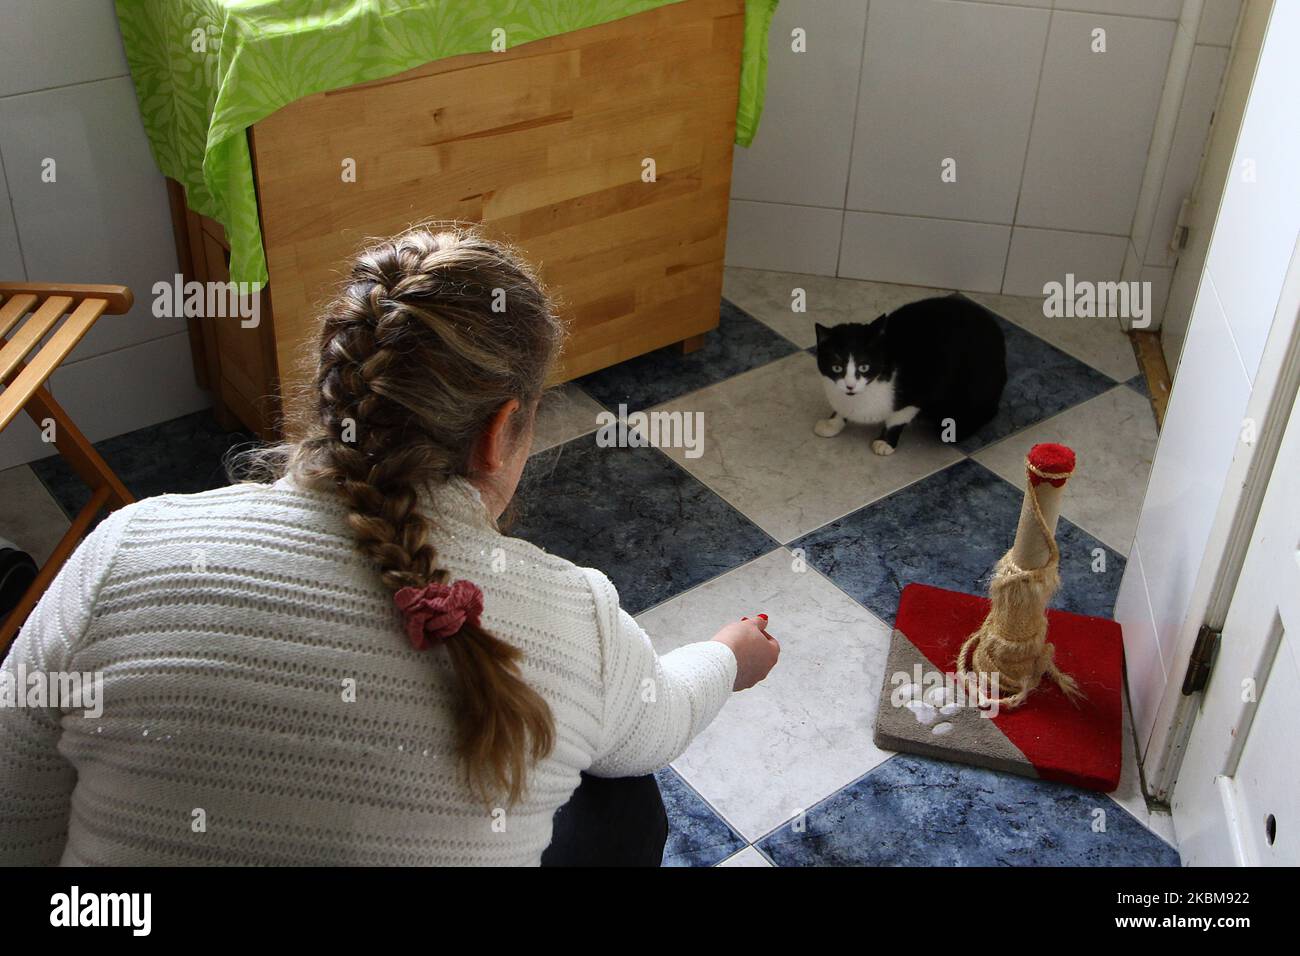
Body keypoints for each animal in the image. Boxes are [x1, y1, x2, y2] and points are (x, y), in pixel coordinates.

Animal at [816, 293, 1008, 455]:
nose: (850, 386)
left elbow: (897, 419)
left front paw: (886, 442)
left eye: (864, 367)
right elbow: (840, 410)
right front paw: (832, 423)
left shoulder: (922, 390)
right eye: (836, 368)